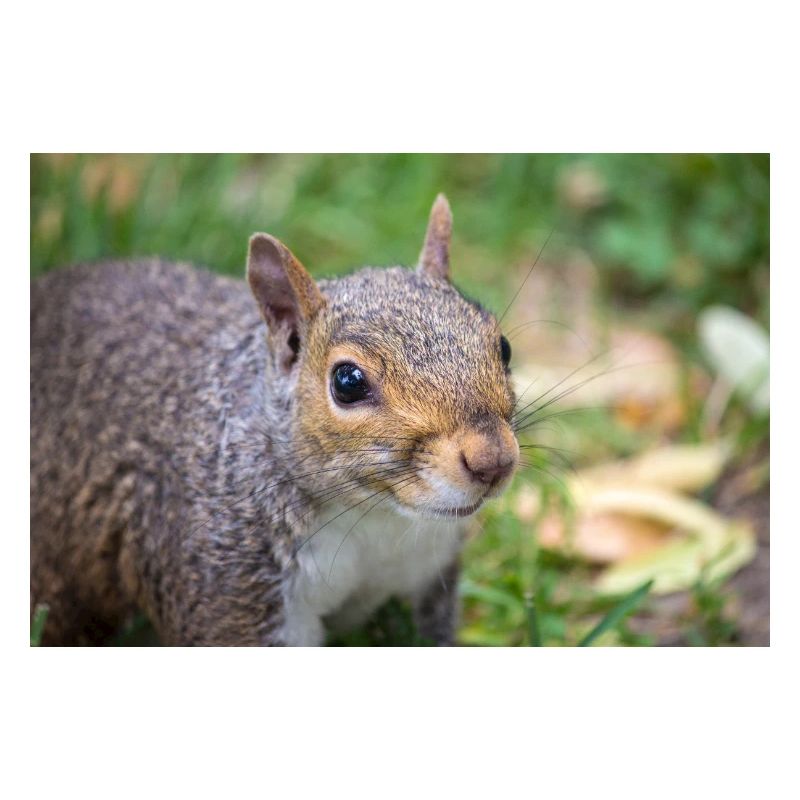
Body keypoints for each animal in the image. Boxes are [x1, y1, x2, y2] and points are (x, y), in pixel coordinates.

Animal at [30, 194, 519, 646]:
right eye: (347, 381)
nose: (492, 461)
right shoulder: (231, 584)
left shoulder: (427, 570)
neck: (375, 516)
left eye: (504, 347)